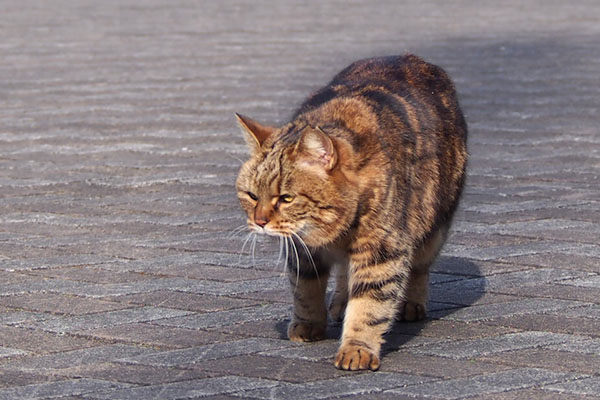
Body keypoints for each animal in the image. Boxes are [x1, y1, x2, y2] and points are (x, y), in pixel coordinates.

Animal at [234, 54, 468, 370]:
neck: (332, 232)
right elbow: (305, 290)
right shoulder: (302, 249)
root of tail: (413, 58)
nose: (259, 221)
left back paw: (411, 304)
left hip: (434, 226)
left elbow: (369, 305)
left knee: (419, 267)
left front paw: (357, 348)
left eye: (286, 198)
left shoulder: (382, 251)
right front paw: (308, 324)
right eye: (252, 195)